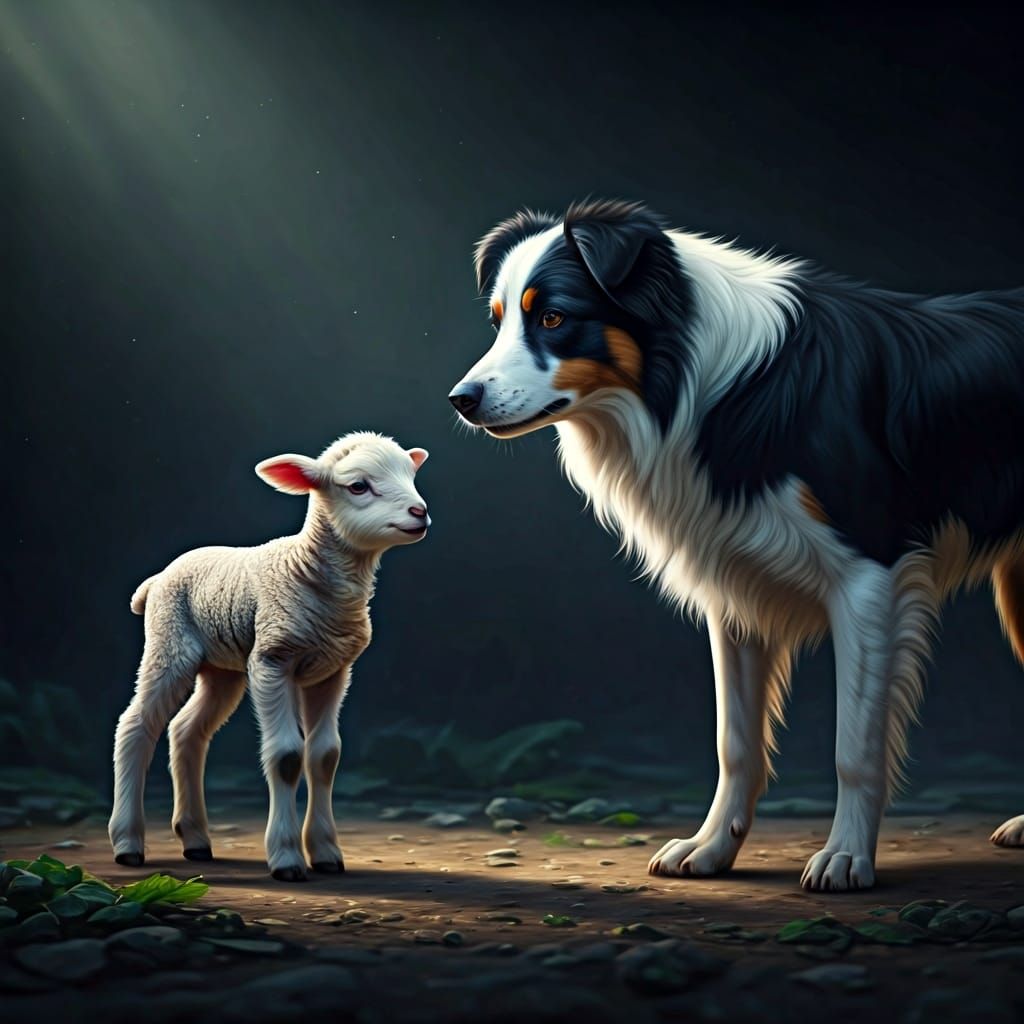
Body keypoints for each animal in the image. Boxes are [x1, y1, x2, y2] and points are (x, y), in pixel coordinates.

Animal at [108, 431, 430, 881]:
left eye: (410, 475)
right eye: (358, 486)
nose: (420, 512)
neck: (309, 571)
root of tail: (155, 580)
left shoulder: (332, 670)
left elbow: (325, 756)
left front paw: (326, 852)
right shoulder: (272, 661)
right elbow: (286, 756)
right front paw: (287, 857)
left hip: (222, 669)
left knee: (185, 731)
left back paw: (195, 839)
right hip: (169, 644)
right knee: (136, 726)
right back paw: (127, 843)